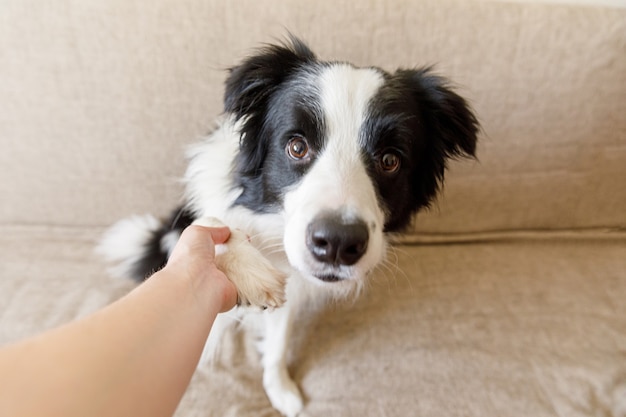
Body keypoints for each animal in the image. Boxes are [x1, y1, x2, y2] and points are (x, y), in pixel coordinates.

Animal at [98, 37, 478, 414]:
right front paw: (248, 269)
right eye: (297, 146)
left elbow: (278, 339)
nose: (337, 243)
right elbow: (213, 223)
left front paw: (279, 388)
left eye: (390, 160)